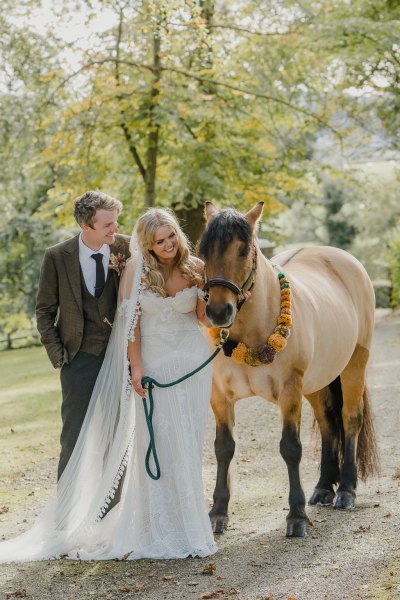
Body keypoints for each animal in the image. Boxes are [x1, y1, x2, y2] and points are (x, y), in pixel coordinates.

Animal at [200, 202, 378, 540]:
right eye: (203, 251)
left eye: (244, 250)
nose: (218, 312)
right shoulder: (219, 397)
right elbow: (223, 448)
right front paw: (217, 513)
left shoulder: (289, 392)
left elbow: (290, 448)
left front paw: (296, 516)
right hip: (317, 383)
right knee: (328, 424)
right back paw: (323, 489)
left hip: (353, 366)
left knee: (350, 419)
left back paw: (346, 490)